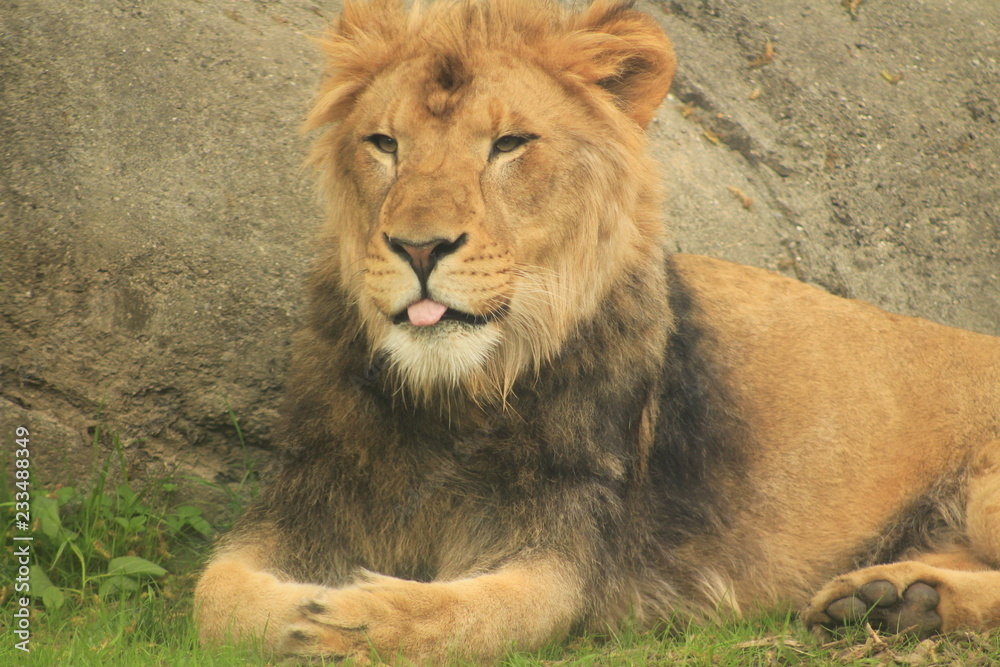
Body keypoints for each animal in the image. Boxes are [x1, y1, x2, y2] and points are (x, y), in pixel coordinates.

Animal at [194, 0, 1000, 663]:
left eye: (509, 144)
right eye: (384, 143)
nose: (419, 248)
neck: (453, 398)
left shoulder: (571, 546)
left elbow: (479, 616)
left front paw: (349, 622)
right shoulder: (305, 498)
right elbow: (214, 596)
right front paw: (300, 613)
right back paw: (892, 597)